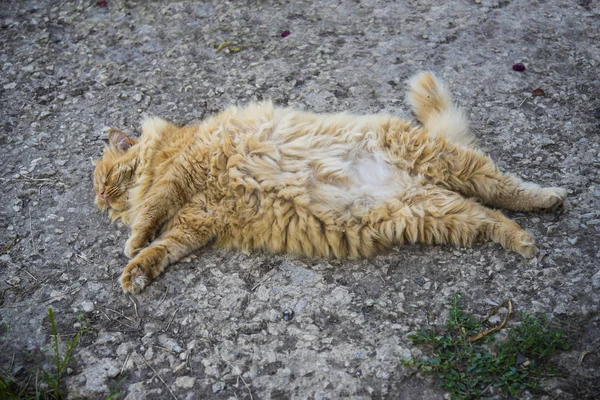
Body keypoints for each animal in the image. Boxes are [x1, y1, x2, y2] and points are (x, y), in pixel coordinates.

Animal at [94, 72, 568, 294]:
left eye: (103, 181)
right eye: (99, 193)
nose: (98, 203)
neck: (171, 145)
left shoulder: (185, 170)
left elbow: (152, 210)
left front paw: (131, 240)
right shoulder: (196, 221)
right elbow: (162, 247)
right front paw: (137, 270)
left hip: (445, 163)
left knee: (504, 187)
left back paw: (549, 199)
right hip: (433, 212)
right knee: (488, 215)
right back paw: (524, 239)